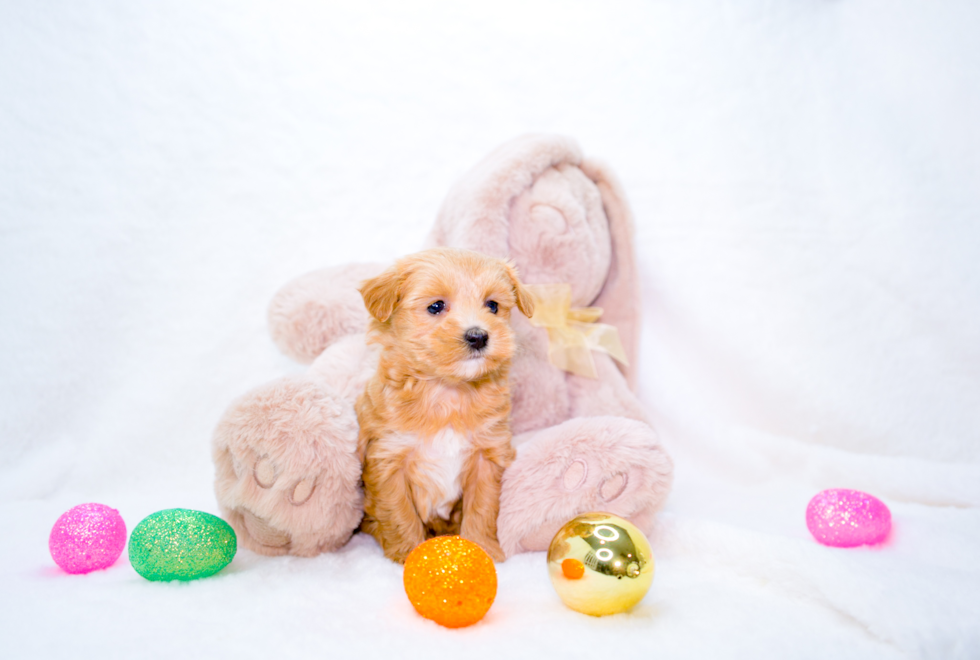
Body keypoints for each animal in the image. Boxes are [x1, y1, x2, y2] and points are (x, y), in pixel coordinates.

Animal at [354, 248, 536, 564]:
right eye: (436, 306)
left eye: (492, 305)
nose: (478, 335)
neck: (448, 391)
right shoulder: (388, 459)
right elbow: (400, 513)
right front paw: (409, 553)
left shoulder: (487, 455)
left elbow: (482, 508)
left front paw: (482, 548)